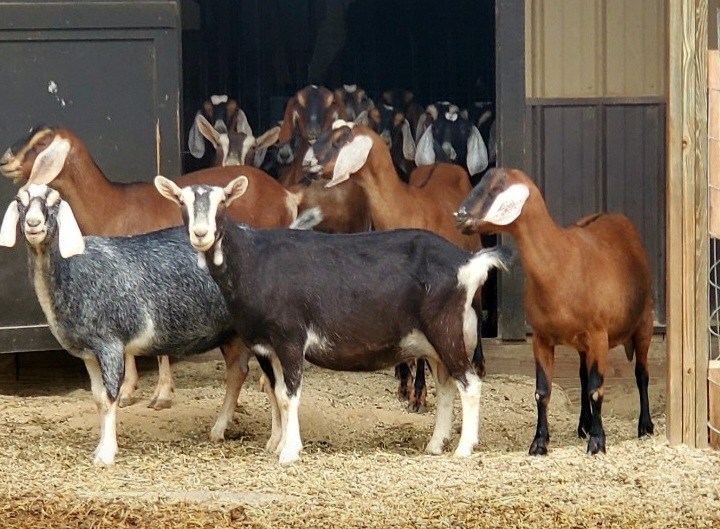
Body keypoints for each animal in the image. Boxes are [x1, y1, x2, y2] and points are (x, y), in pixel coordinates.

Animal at [0, 125, 301, 410]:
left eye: (41, 141)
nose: (6, 160)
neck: (113, 207)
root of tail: (286, 195)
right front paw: (127, 392)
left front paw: (162, 394)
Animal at [0, 184, 288, 465]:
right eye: (20, 201)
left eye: (55, 202)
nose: (33, 224)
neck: (74, 270)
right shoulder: (89, 353)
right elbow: (97, 398)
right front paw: (100, 448)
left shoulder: (110, 344)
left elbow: (110, 396)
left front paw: (106, 454)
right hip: (232, 334)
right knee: (238, 372)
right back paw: (219, 430)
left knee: (270, 383)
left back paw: (275, 441)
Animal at [155, 175, 510, 465]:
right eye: (182, 202)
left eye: (223, 202)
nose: (201, 234)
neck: (252, 260)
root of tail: (468, 264)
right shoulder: (265, 347)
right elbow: (278, 394)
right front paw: (279, 443)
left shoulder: (290, 338)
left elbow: (290, 395)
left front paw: (289, 452)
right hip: (437, 341)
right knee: (448, 386)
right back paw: (436, 444)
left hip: (445, 329)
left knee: (470, 384)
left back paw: (463, 448)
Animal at [303, 120, 484, 412]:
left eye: (340, 139)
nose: (307, 162)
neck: (407, 207)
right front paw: (404, 385)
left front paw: (418, 395)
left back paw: (477, 363)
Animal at [454, 167, 655, 455]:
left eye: (496, 187)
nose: (459, 216)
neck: (561, 262)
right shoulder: (541, 338)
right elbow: (543, 391)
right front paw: (539, 443)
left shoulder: (599, 334)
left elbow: (597, 389)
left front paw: (597, 442)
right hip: (583, 344)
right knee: (582, 376)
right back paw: (583, 425)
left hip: (644, 322)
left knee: (641, 373)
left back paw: (644, 426)